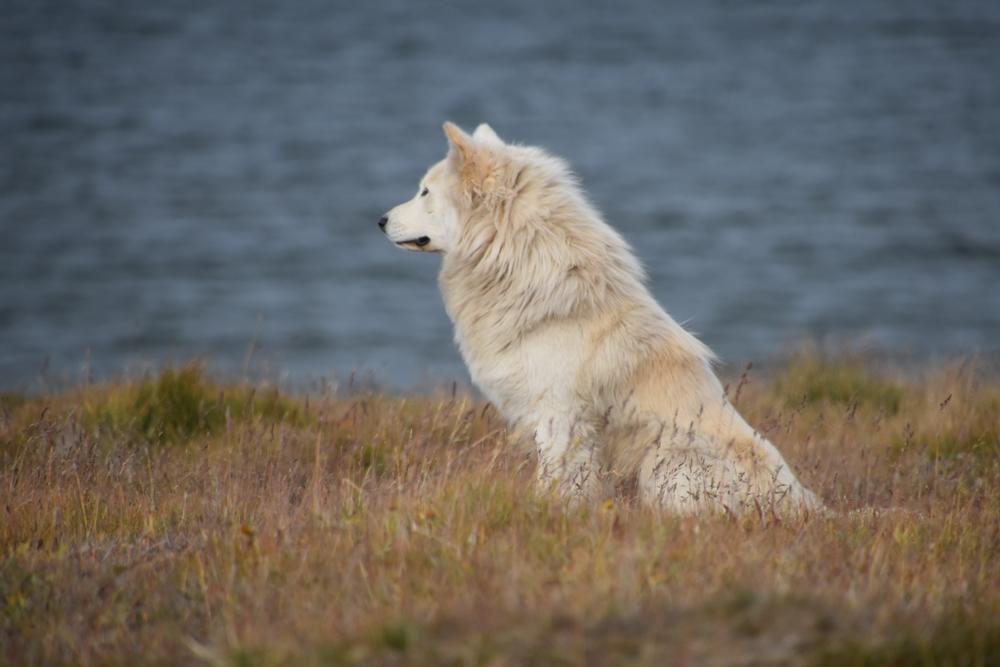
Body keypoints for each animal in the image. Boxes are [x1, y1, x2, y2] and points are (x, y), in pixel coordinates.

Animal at [378, 121, 824, 516]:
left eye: (425, 191)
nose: (380, 221)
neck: (519, 263)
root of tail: (804, 507)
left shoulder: (560, 418)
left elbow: (555, 481)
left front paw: (545, 514)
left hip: (668, 460)